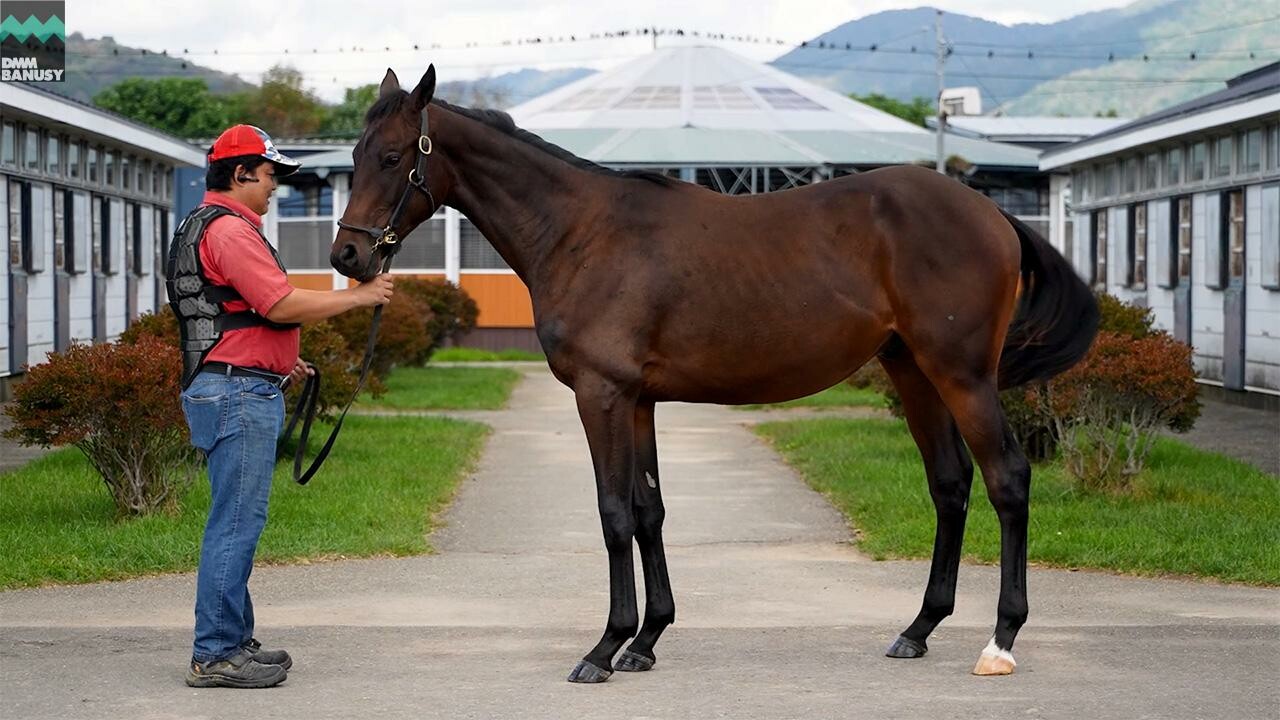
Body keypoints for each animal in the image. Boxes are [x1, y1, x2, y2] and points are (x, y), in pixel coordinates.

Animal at [330, 67, 1100, 676]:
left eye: (393, 156)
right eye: (355, 155)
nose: (348, 257)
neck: (582, 231)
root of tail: (992, 213)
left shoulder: (601, 396)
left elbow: (613, 512)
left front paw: (603, 648)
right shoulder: (637, 400)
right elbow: (648, 511)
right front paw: (646, 641)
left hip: (962, 375)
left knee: (1007, 479)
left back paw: (1001, 641)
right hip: (913, 372)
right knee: (949, 484)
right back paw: (917, 629)